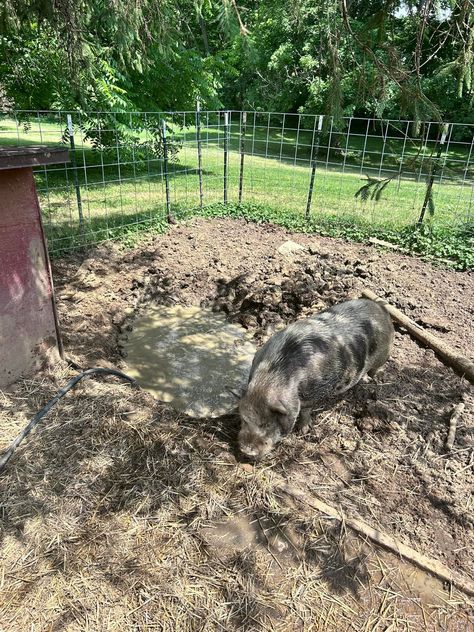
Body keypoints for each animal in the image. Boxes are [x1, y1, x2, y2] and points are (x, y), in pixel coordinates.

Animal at [235, 298, 394, 462]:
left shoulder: (316, 390)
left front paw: (303, 430)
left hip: (384, 353)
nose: (246, 451)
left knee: (377, 367)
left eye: (266, 424)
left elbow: (306, 409)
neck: (273, 375)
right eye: (244, 419)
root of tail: (380, 307)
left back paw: (373, 378)